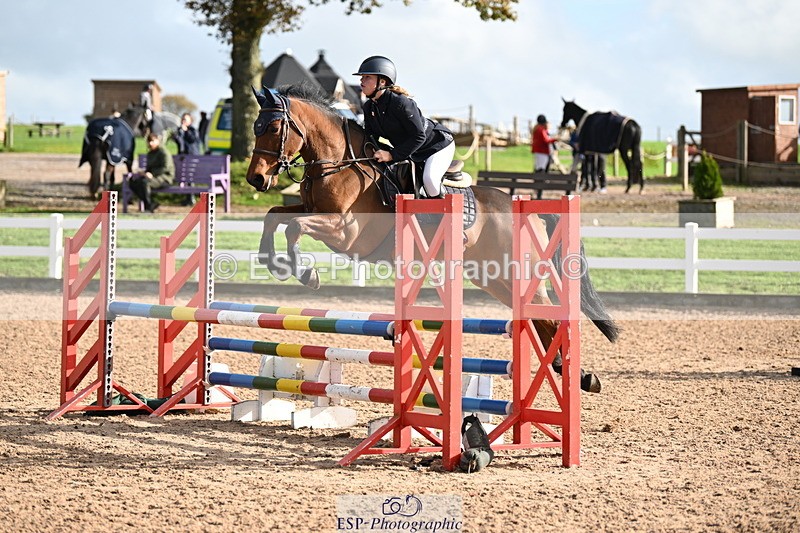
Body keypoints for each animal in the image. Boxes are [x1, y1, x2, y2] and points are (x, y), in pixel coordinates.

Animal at [246, 84, 621, 392]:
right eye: (255, 128)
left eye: (275, 128)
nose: (256, 179)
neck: (341, 163)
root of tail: (525, 207)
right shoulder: (311, 210)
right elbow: (274, 216)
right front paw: (273, 263)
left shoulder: (345, 230)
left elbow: (294, 227)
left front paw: (306, 273)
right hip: (493, 277)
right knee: (537, 316)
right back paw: (570, 372)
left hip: (513, 272)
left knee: (546, 315)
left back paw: (577, 375)